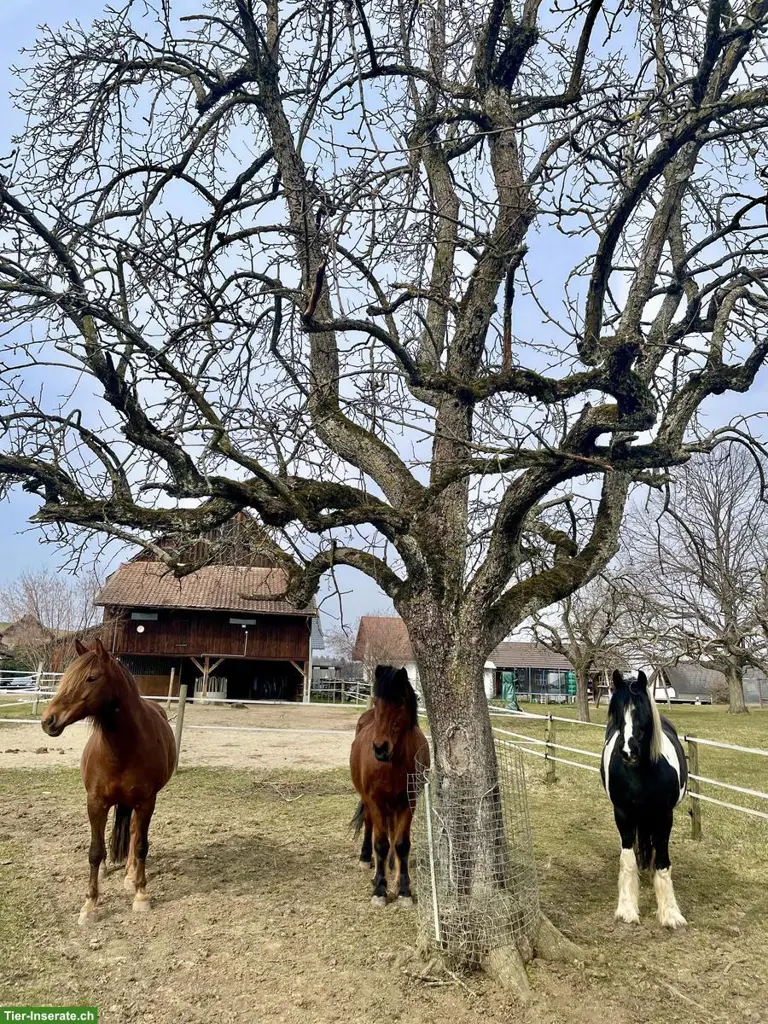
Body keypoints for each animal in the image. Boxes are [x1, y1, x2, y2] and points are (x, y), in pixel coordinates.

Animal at [41, 638, 176, 924]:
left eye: (91, 678)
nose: (48, 720)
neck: (122, 749)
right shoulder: (95, 802)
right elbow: (95, 850)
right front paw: (89, 905)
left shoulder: (146, 802)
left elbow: (141, 846)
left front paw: (141, 895)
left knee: (134, 834)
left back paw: (130, 876)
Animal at [349, 665, 429, 906]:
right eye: (377, 702)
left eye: (401, 702)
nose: (380, 748)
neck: (393, 763)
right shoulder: (375, 800)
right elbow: (381, 843)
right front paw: (379, 889)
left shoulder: (409, 801)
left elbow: (401, 843)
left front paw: (403, 890)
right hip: (370, 801)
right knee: (370, 826)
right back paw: (366, 858)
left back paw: (392, 864)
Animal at [600, 669, 688, 929]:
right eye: (616, 713)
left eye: (644, 712)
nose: (629, 751)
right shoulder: (623, 814)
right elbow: (628, 860)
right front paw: (627, 909)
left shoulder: (664, 815)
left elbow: (663, 861)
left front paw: (670, 913)